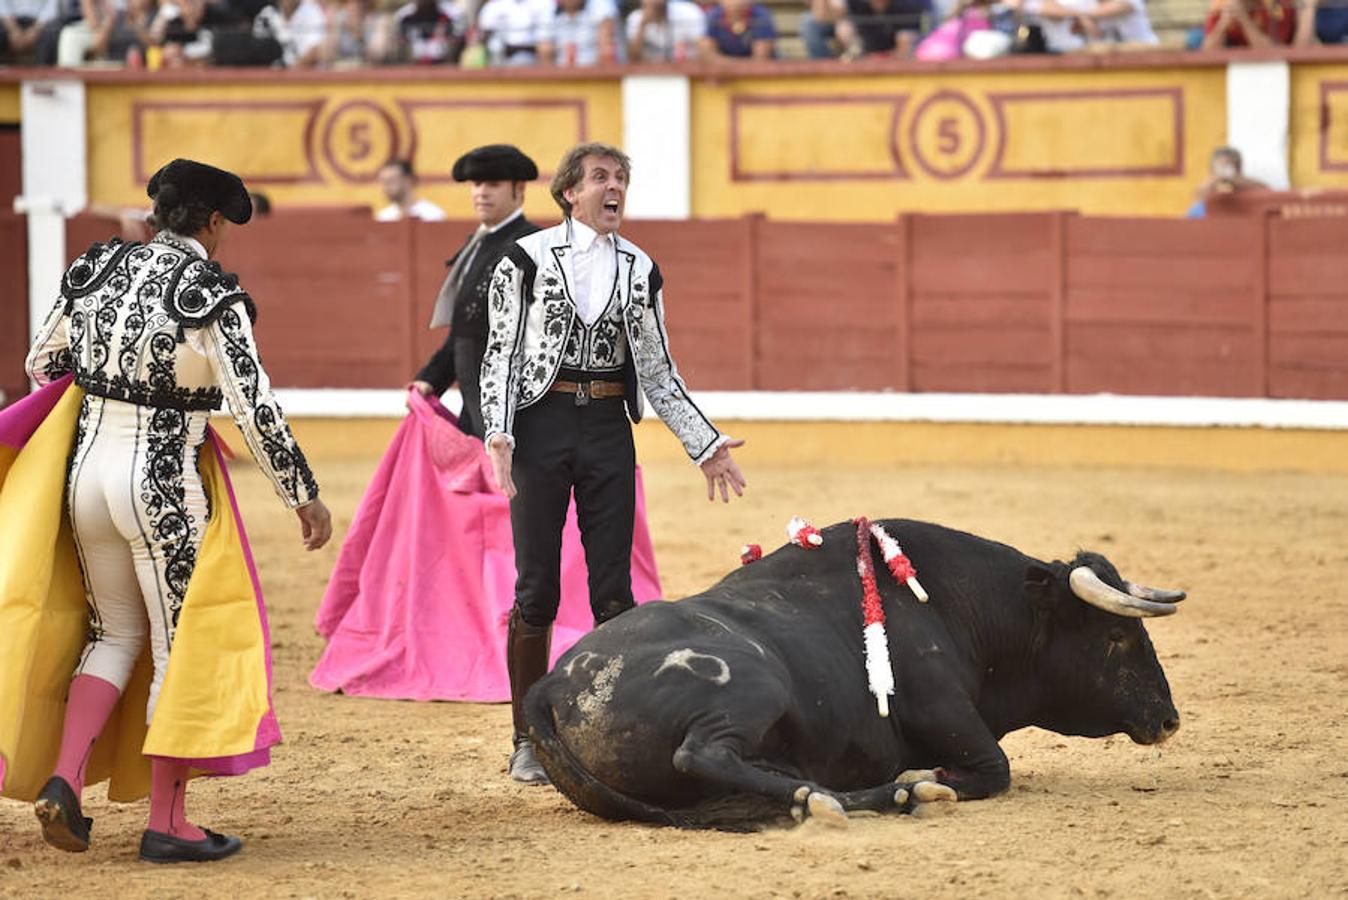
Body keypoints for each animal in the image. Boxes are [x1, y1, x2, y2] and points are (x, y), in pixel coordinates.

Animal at [520, 517, 1186, 824]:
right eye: (1118, 635)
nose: (1169, 719)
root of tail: (550, 685)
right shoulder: (949, 715)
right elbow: (997, 769)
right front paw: (930, 779)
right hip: (753, 686)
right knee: (702, 753)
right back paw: (855, 796)